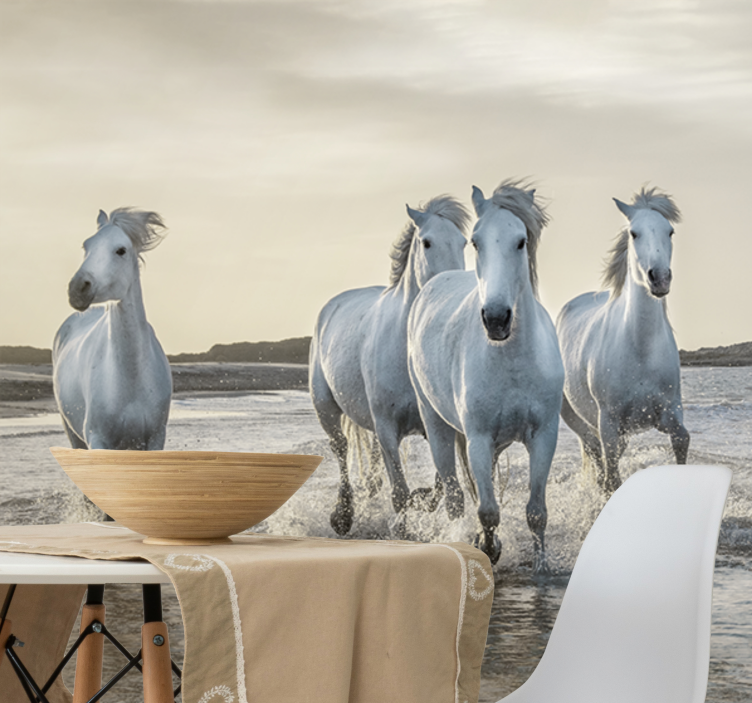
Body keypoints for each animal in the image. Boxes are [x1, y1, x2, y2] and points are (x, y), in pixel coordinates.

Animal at [53, 208, 172, 450]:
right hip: (72, 433)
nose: (77, 289)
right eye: (86, 246)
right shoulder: (97, 441)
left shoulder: (156, 440)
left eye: (121, 250)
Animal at [309, 195, 470, 535]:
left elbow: (438, 485)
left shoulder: (433, 424)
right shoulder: (387, 428)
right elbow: (399, 492)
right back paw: (342, 516)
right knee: (341, 449)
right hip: (326, 408)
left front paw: (422, 500)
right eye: (426, 242)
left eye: (464, 243)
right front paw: (402, 530)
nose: (453, 288)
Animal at [408, 181, 563, 570]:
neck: (512, 360)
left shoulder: (544, 435)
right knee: (454, 496)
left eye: (521, 241)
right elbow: (488, 510)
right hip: (436, 424)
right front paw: (489, 549)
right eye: (476, 242)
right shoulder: (477, 438)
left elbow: (536, 512)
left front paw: (541, 566)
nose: (496, 318)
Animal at [556, 187, 689, 494]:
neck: (640, 349)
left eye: (670, 231)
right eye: (634, 233)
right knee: (595, 453)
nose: (659, 278)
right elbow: (612, 478)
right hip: (576, 417)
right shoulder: (609, 422)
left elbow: (682, 440)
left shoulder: (669, 413)